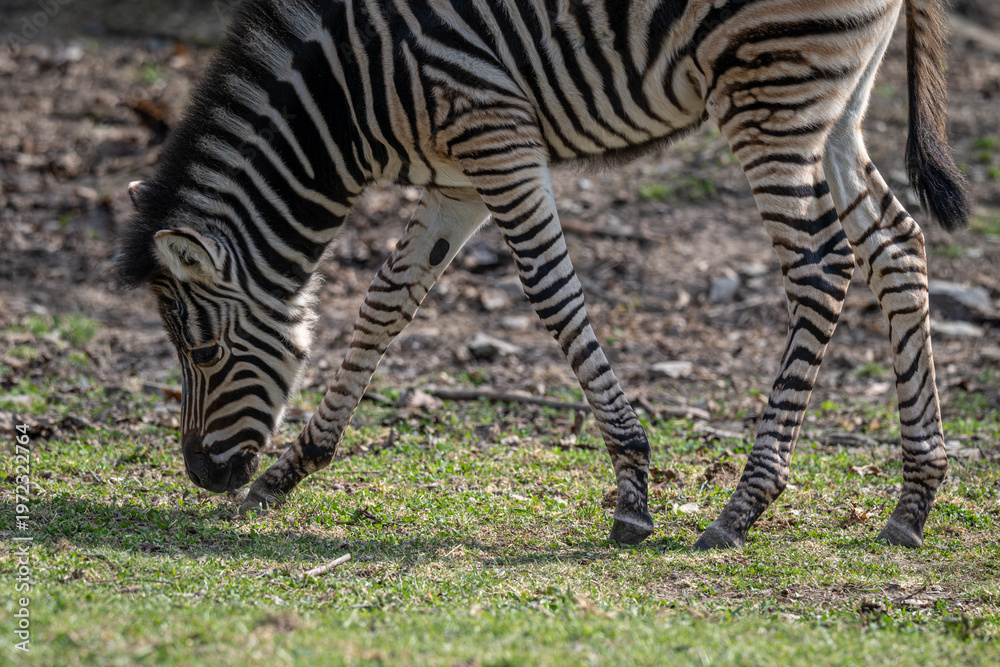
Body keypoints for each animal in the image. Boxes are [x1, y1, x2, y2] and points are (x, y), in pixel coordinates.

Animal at [115, 0, 970, 549]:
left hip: (771, 91)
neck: (349, 82)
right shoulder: (457, 174)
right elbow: (387, 301)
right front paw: (293, 469)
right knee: (897, 246)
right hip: (832, 102)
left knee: (822, 269)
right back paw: (914, 499)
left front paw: (633, 487)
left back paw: (743, 505)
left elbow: (551, 294)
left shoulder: (495, 133)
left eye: (205, 352)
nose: (201, 473)